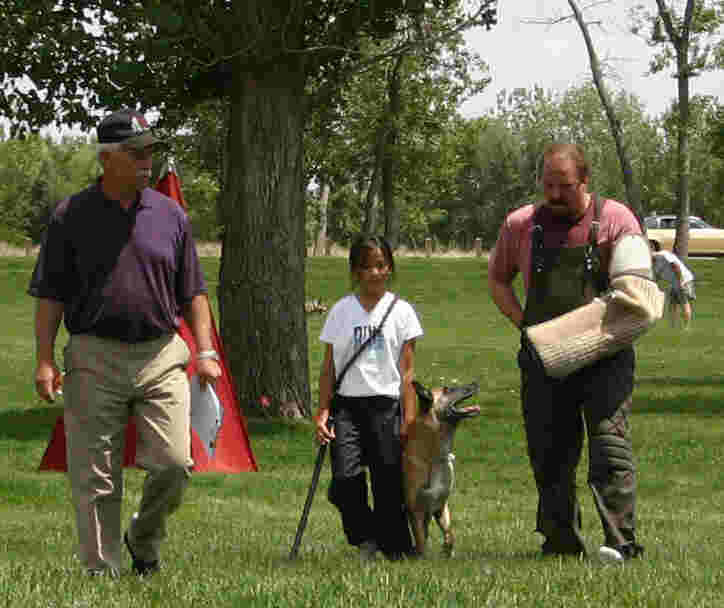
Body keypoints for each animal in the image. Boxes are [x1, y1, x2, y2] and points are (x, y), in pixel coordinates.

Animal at [403, 380, 480, 557]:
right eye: (447, 390)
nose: (475, 383)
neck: (434, 458)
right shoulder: (415, 510)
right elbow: (421, 541)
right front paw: (423, 557)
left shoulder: (441, 505)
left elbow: (449, 533)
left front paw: (447, 550)